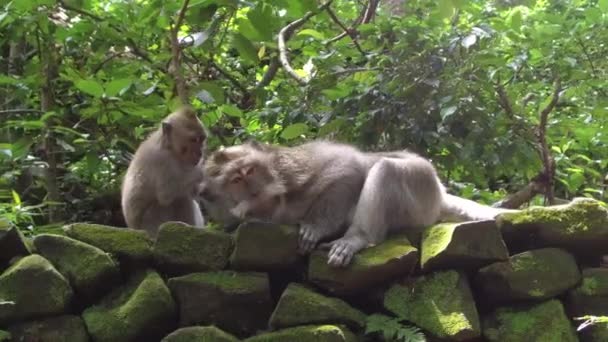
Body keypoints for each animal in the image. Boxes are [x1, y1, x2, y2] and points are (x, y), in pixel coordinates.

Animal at [120, 107, 207, 238]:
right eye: (194, 140)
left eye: (201, 139)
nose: (200, 153)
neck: (168, 146)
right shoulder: (161, 159)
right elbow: (166, 193)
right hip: (151, 223)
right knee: (177, 198)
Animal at [202, 140, 516, 268]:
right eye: (235, 180)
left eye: (250, 171)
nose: (253, 188)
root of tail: (439, 190)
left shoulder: (295, 168)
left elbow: (347, 168)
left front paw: (316, 227)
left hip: (421, 186)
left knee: (385, 168)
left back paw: (357, 238)